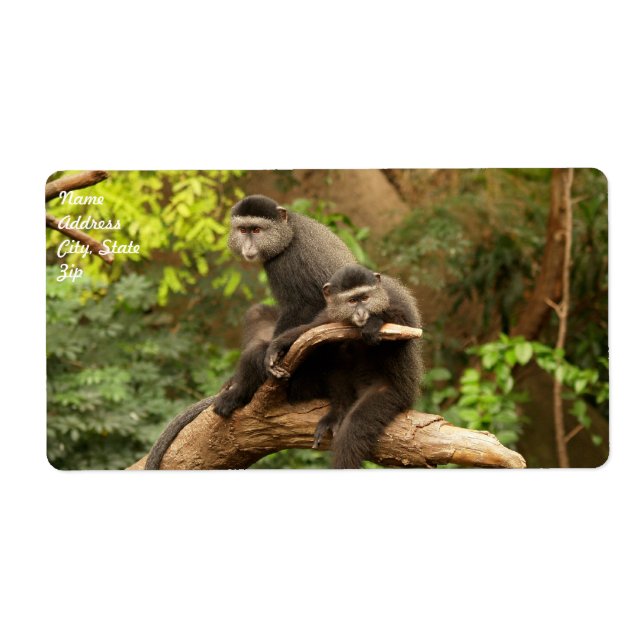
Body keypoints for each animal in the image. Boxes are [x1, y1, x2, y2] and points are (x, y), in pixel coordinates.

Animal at [264, 264, 423, 468]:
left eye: (365, 298)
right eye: (352, 301)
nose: (361, 313)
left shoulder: (394, 301)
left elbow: (405, 326)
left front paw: (374, 322)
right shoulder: (330, 314)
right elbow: (313, 329)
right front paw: (278, 346)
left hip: (394, 394)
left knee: (356, 424)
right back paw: (338, 413)